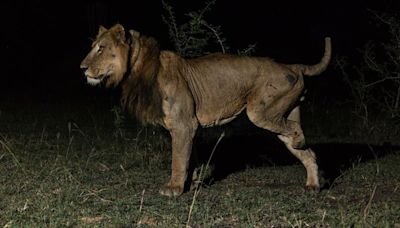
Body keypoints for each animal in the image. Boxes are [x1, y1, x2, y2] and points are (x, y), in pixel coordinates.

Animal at [80, 24, 332, 197]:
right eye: (93, 47)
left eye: (101, 49)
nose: (82, 68)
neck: (137, 70)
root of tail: (292, 66)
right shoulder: (188, 126)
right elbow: (190, 157)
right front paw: (190, 184)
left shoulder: (183, 124)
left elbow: (178, 159)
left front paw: (173, 188)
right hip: (282, 113)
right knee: (308, 152)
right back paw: (313, 184)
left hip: (260, 112)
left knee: (295, 131)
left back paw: (300, 142)